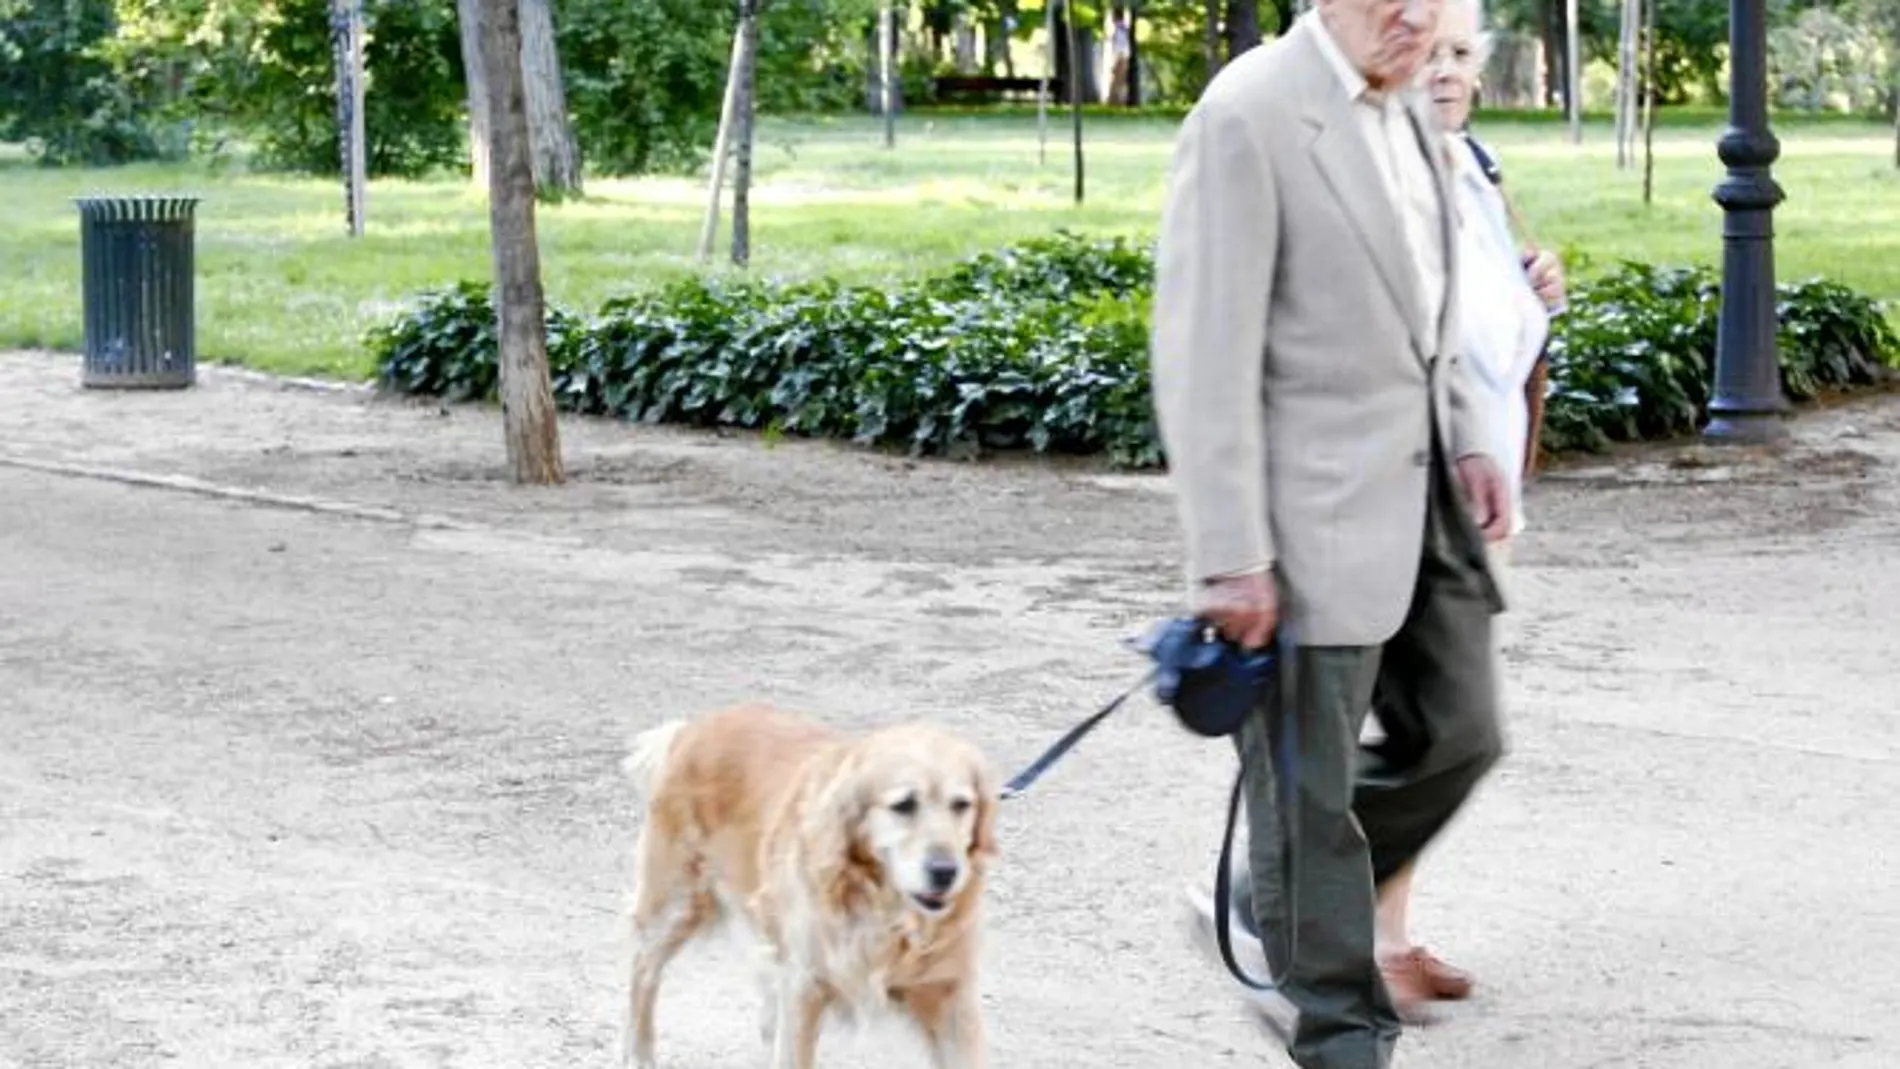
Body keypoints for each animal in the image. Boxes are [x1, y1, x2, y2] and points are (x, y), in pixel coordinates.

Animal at [623, 702, 1003, 1069]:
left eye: (961, 805)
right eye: (904, 805)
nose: (946, 871)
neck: (882, 906)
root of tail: (692, 729)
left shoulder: (952, 996)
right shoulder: (805, 986)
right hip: (676, 905)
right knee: (643, 971)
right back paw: (638, 1053)